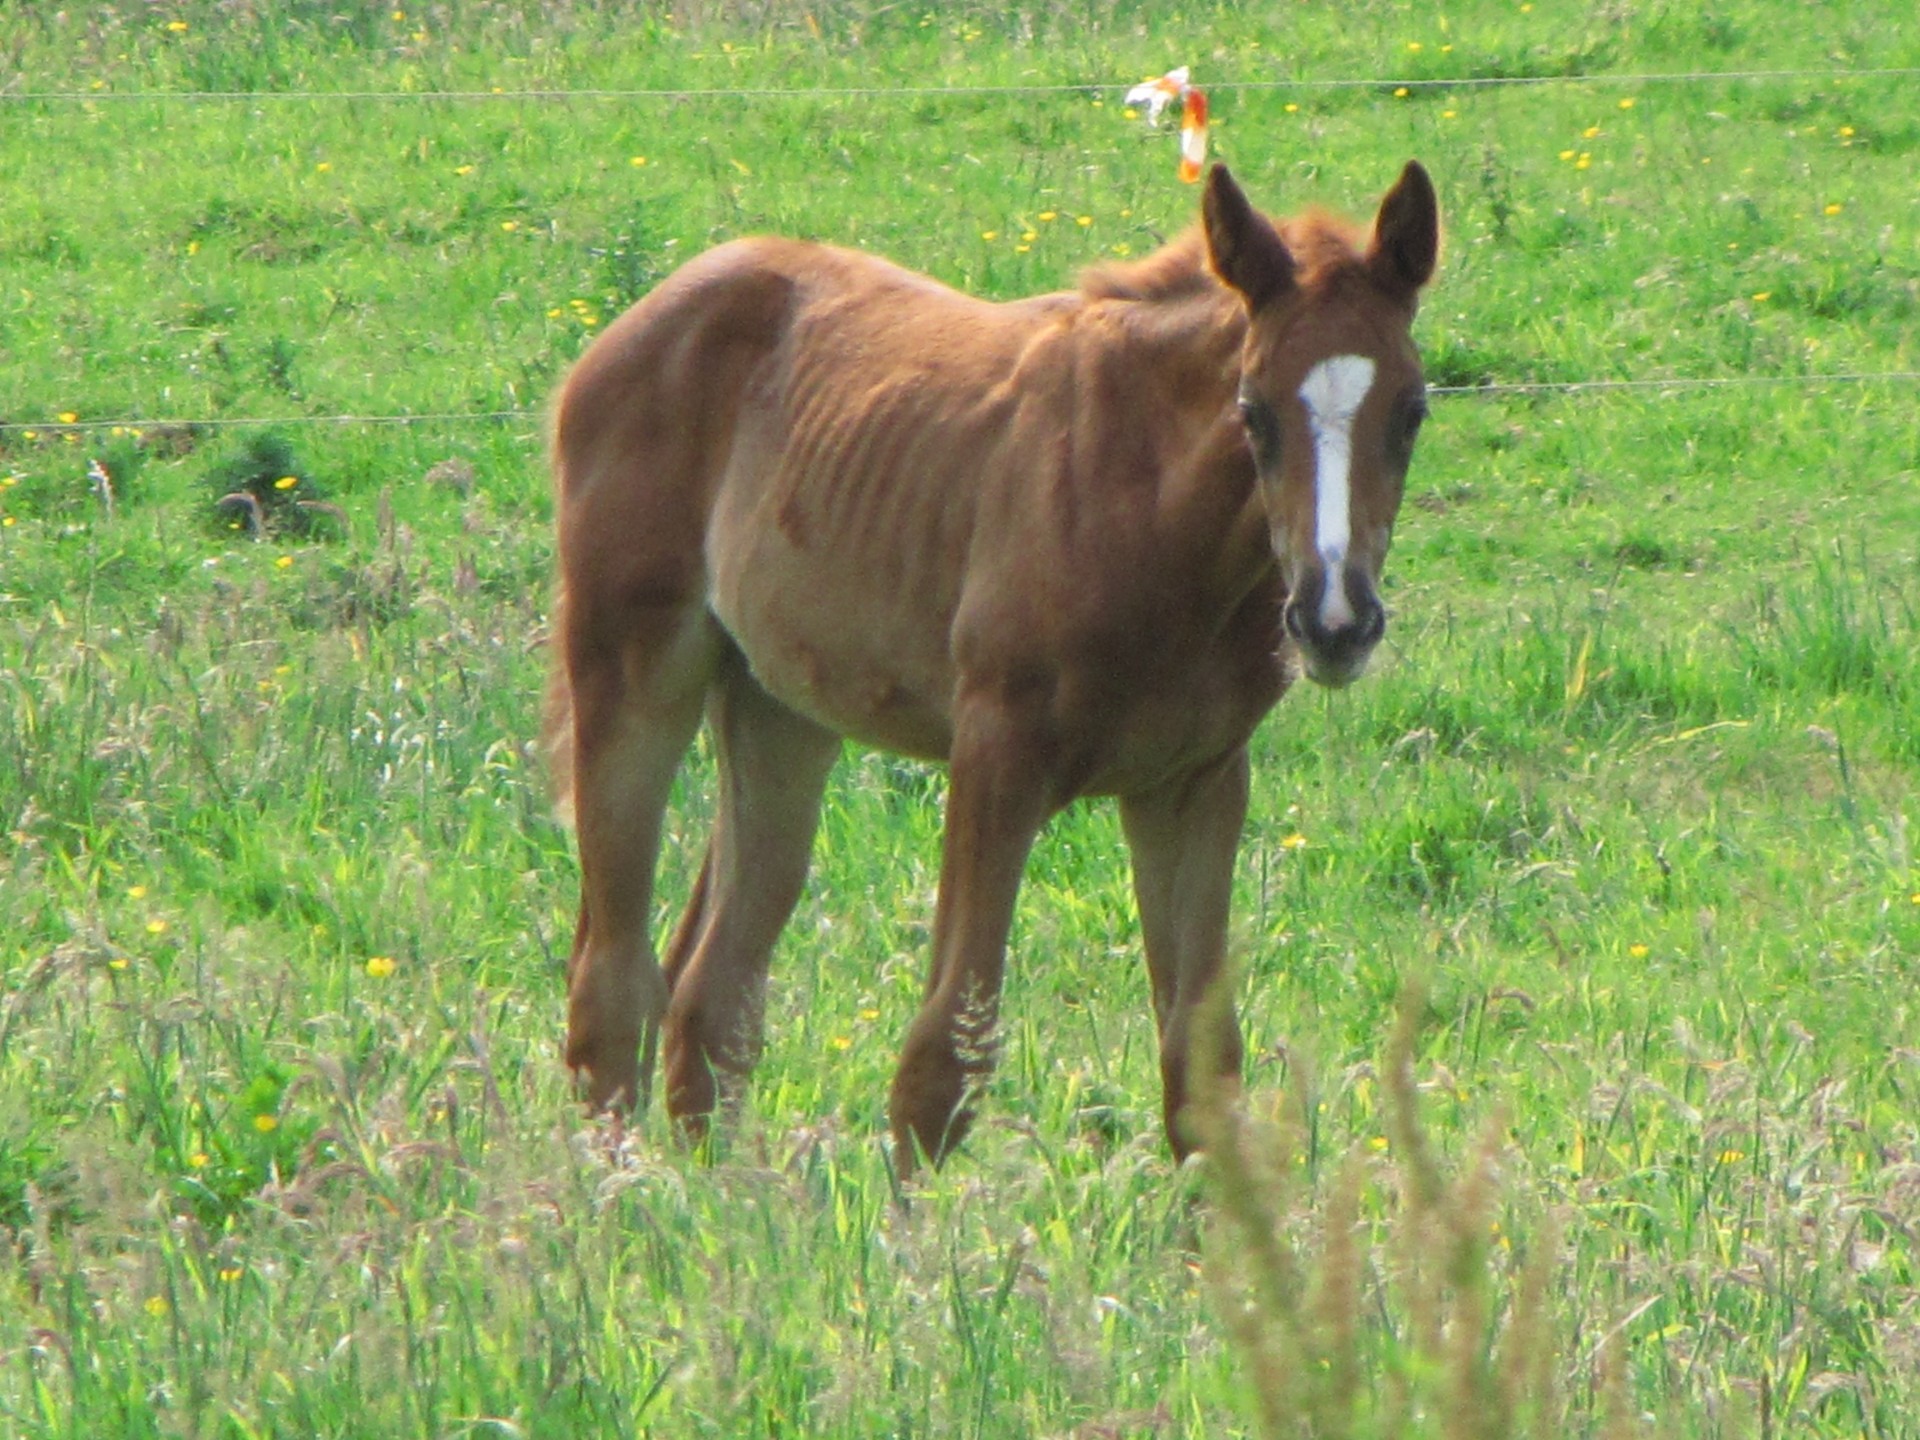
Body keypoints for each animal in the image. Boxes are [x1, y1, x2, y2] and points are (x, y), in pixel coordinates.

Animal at [549, 160, 1436, 1175]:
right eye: (1251, 411)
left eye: (1413, 410)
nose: (1335, 620)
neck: (1147, 514)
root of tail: (631, 324)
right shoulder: (994, 757)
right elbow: (945, 1057)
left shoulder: (1194, 783)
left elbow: (1200, 1063)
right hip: (632, 673)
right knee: (612, 983)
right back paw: (620, 1192)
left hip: (780, 711)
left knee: (713, 992)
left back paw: (726, 1197)